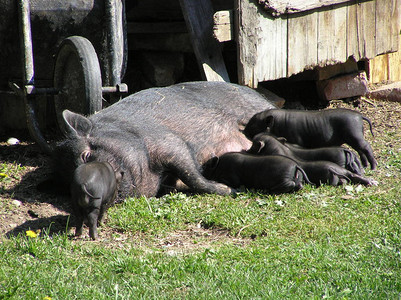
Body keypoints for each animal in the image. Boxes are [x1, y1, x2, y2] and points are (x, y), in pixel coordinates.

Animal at [242, 108, 376, 170]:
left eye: (253, 124)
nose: (243, 131)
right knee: (360, 150)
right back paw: (365, 166)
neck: (278, 124)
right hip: (354, 137)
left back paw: (373, 167)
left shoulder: (297, 140)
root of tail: (359, 116)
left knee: (366, 147)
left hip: (354, 133)